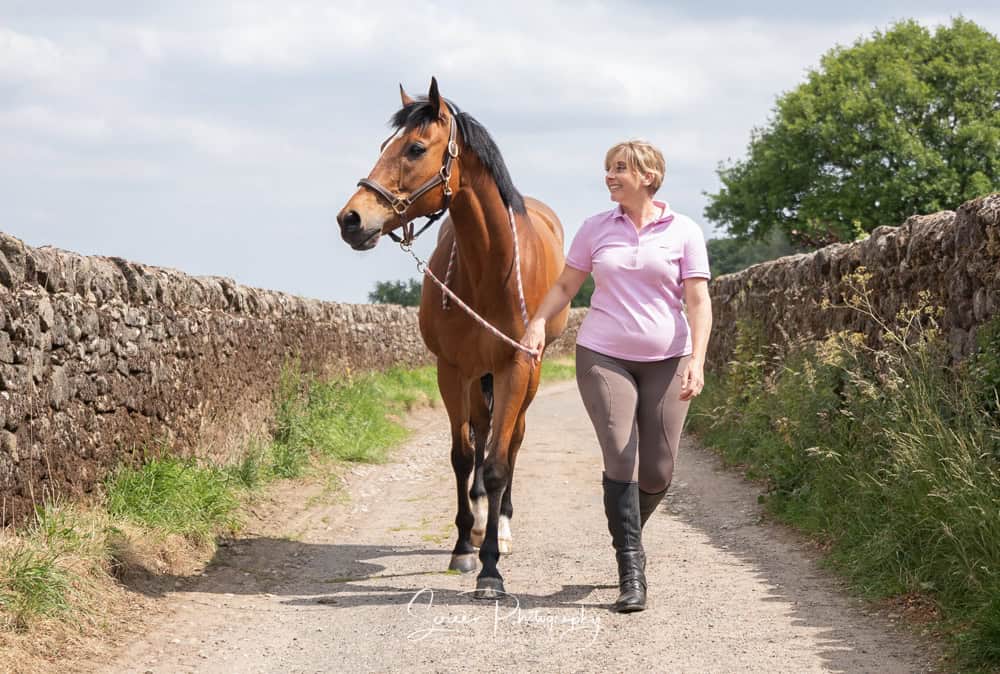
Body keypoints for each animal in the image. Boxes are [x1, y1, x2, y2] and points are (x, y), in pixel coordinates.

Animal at [336, 78, 569, 598]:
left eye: (416, 148)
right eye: (385, 147)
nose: (350, 219)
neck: (488, 269)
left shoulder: (515, 367)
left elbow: (499, 461)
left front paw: (491, 569)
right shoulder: (453, 369)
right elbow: (463, 457)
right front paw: (465, 547)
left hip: (528, 375)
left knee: (513, 441)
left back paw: (502, 525)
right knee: (481, 434)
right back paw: (482, 520)